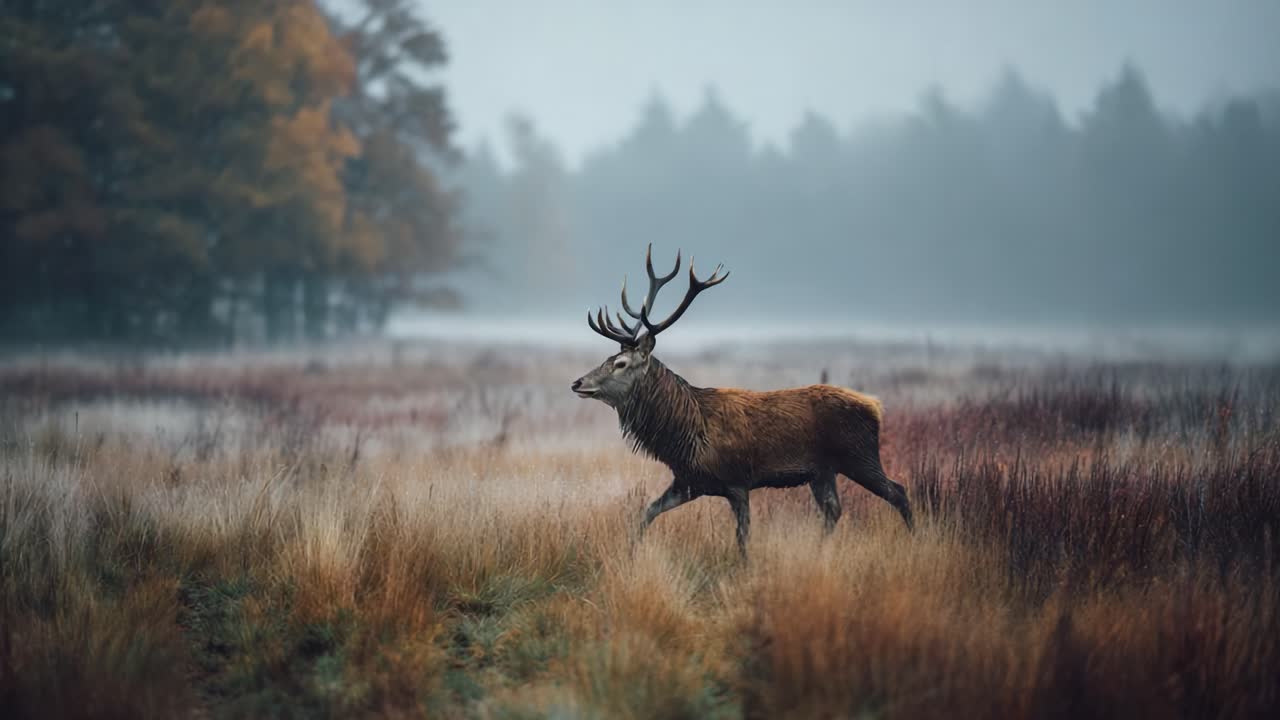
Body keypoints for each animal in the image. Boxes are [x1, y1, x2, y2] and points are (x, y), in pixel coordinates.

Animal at [571, 245, 914, 555]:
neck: (686, 435)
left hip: (859, 455)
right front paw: (630, 552)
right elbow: (646, 513)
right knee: (833, 510)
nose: (578, 383)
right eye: (608, 358)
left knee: (898, 492)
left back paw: (914, 541)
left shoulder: (737, 481)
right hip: (823, 471)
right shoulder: (688, 482)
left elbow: (742, 539)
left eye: (620, 364)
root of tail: (875, 406)